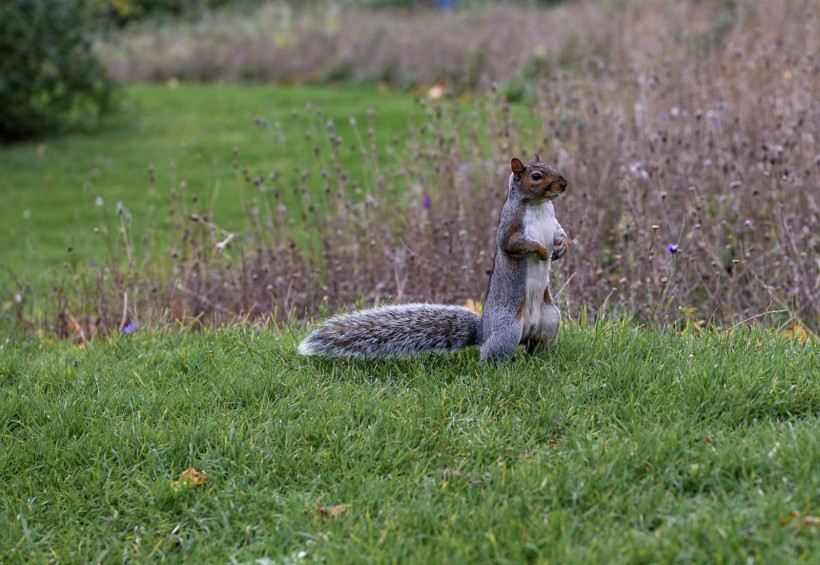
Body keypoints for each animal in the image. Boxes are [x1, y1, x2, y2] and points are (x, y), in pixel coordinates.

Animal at [296, 156, 572, 364]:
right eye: (536, 176)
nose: (564, 184)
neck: (539, 205)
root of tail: (484, 330)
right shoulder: (510, 226)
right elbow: (514, 244)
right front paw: (542, 251)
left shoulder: (553, 222)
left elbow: (560, 233)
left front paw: (561, 249)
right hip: (507, 331)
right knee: (492, 355)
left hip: (550, 319)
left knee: (537, 345)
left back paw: (542, 359)